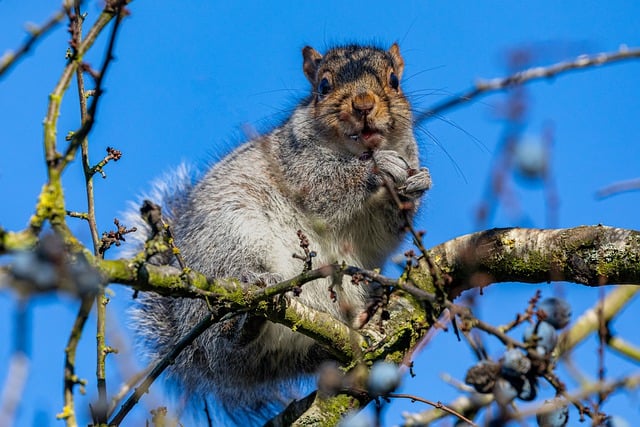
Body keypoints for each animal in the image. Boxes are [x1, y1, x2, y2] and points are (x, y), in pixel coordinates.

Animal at [129, 43, 430, 424]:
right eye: (323, 86)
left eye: (394, 81)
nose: (363, 104)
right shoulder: (295, 163)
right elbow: (324, 187)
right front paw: (376, 169)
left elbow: (386, 230)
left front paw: (416, 185)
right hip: (229, 243)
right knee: (225, 338)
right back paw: (245, 320)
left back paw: (361, 320)